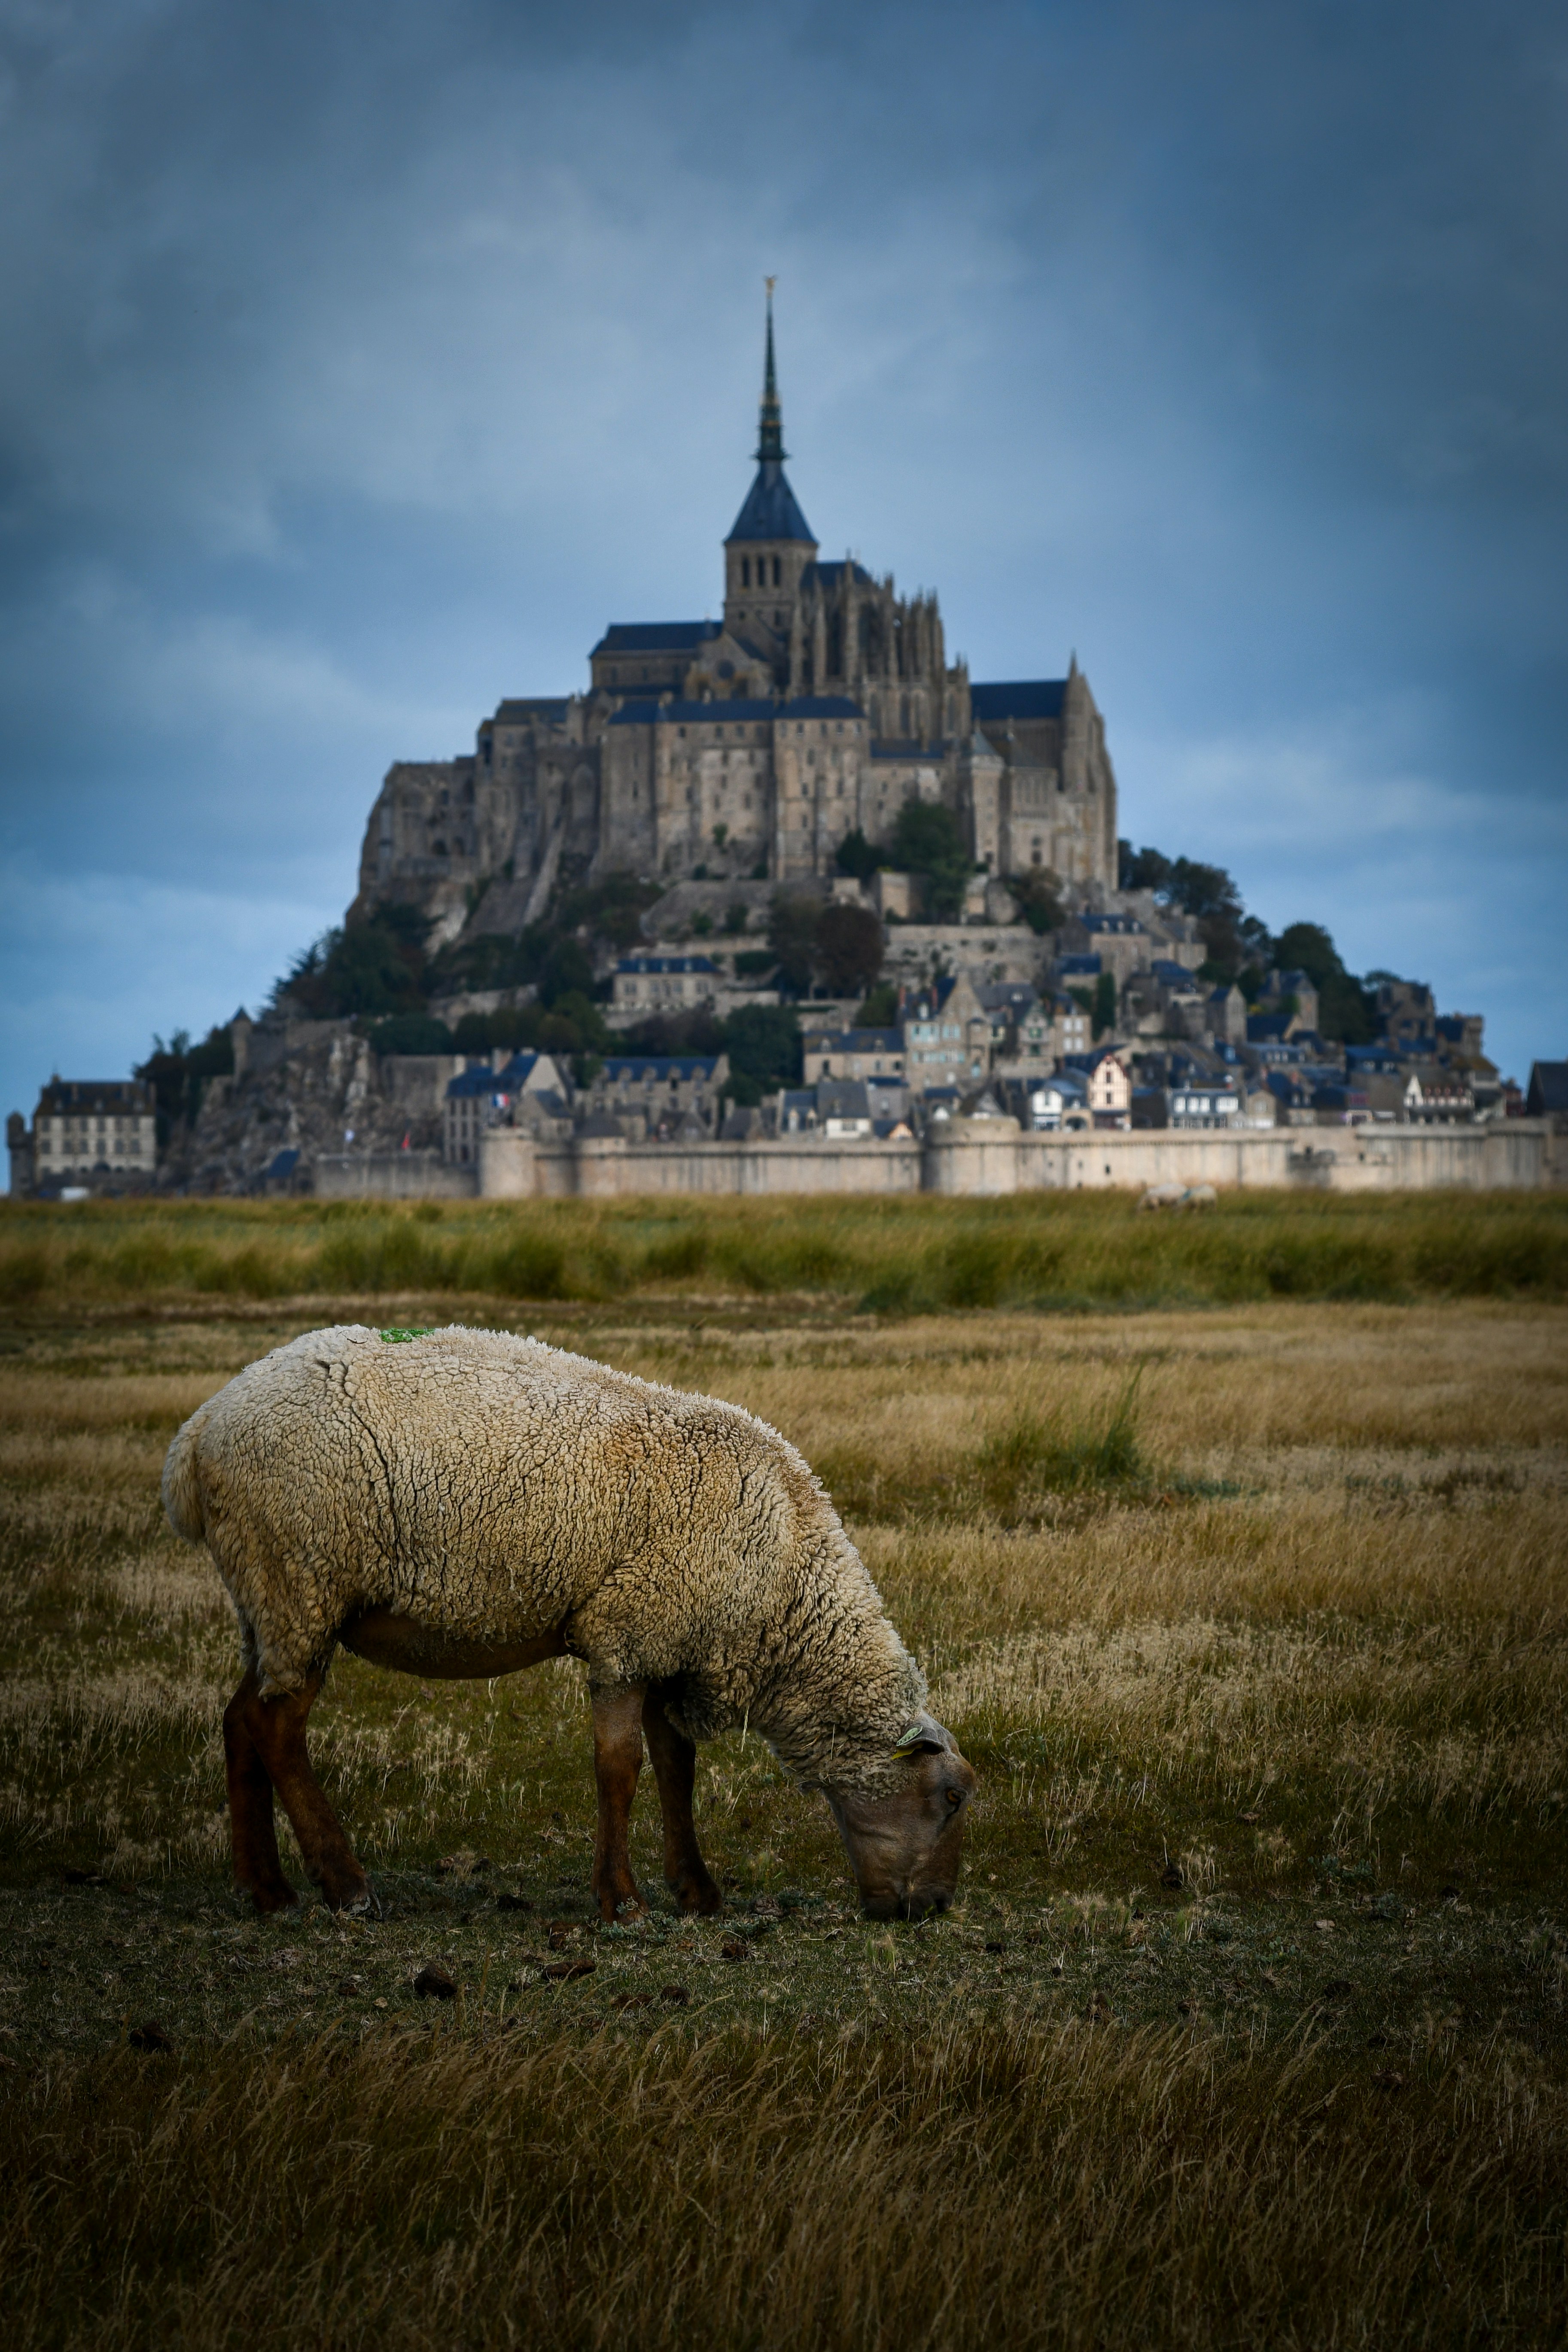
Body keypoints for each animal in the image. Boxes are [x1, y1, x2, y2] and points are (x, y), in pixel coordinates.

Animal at [163, 1323, 976, 1924]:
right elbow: (619, 1769)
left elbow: (677, 1771)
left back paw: (267, 1891)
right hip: (303, 1577)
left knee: (240, 1721)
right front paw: (622, 1900)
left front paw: (697, 1892)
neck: (784, 1586)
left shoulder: (669, 1642)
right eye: (952, 1797)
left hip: (267, 1594)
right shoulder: (628, 1634)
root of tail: (197, 1434)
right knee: (275, 1729)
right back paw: (344, 1885)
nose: (934, 1908)